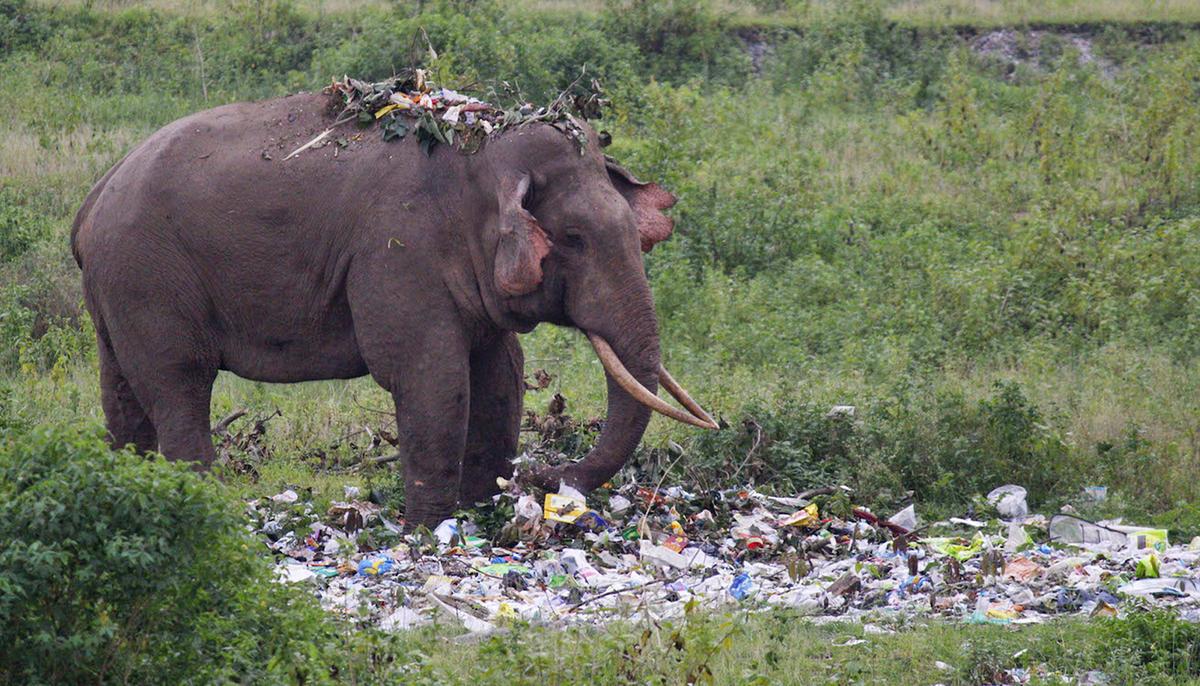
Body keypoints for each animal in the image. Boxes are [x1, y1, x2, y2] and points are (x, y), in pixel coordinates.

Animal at [71, 91, 716, 527]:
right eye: (575, 239)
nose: (537, 476)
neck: (479, 151)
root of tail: (93, 199)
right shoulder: (397, 249)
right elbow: (431, 376)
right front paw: (431, 531)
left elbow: (501, 373)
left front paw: (479, 513)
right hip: (147, 276)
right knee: (178, 384)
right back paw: (203, 508)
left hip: (115, 290)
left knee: (122, 394)